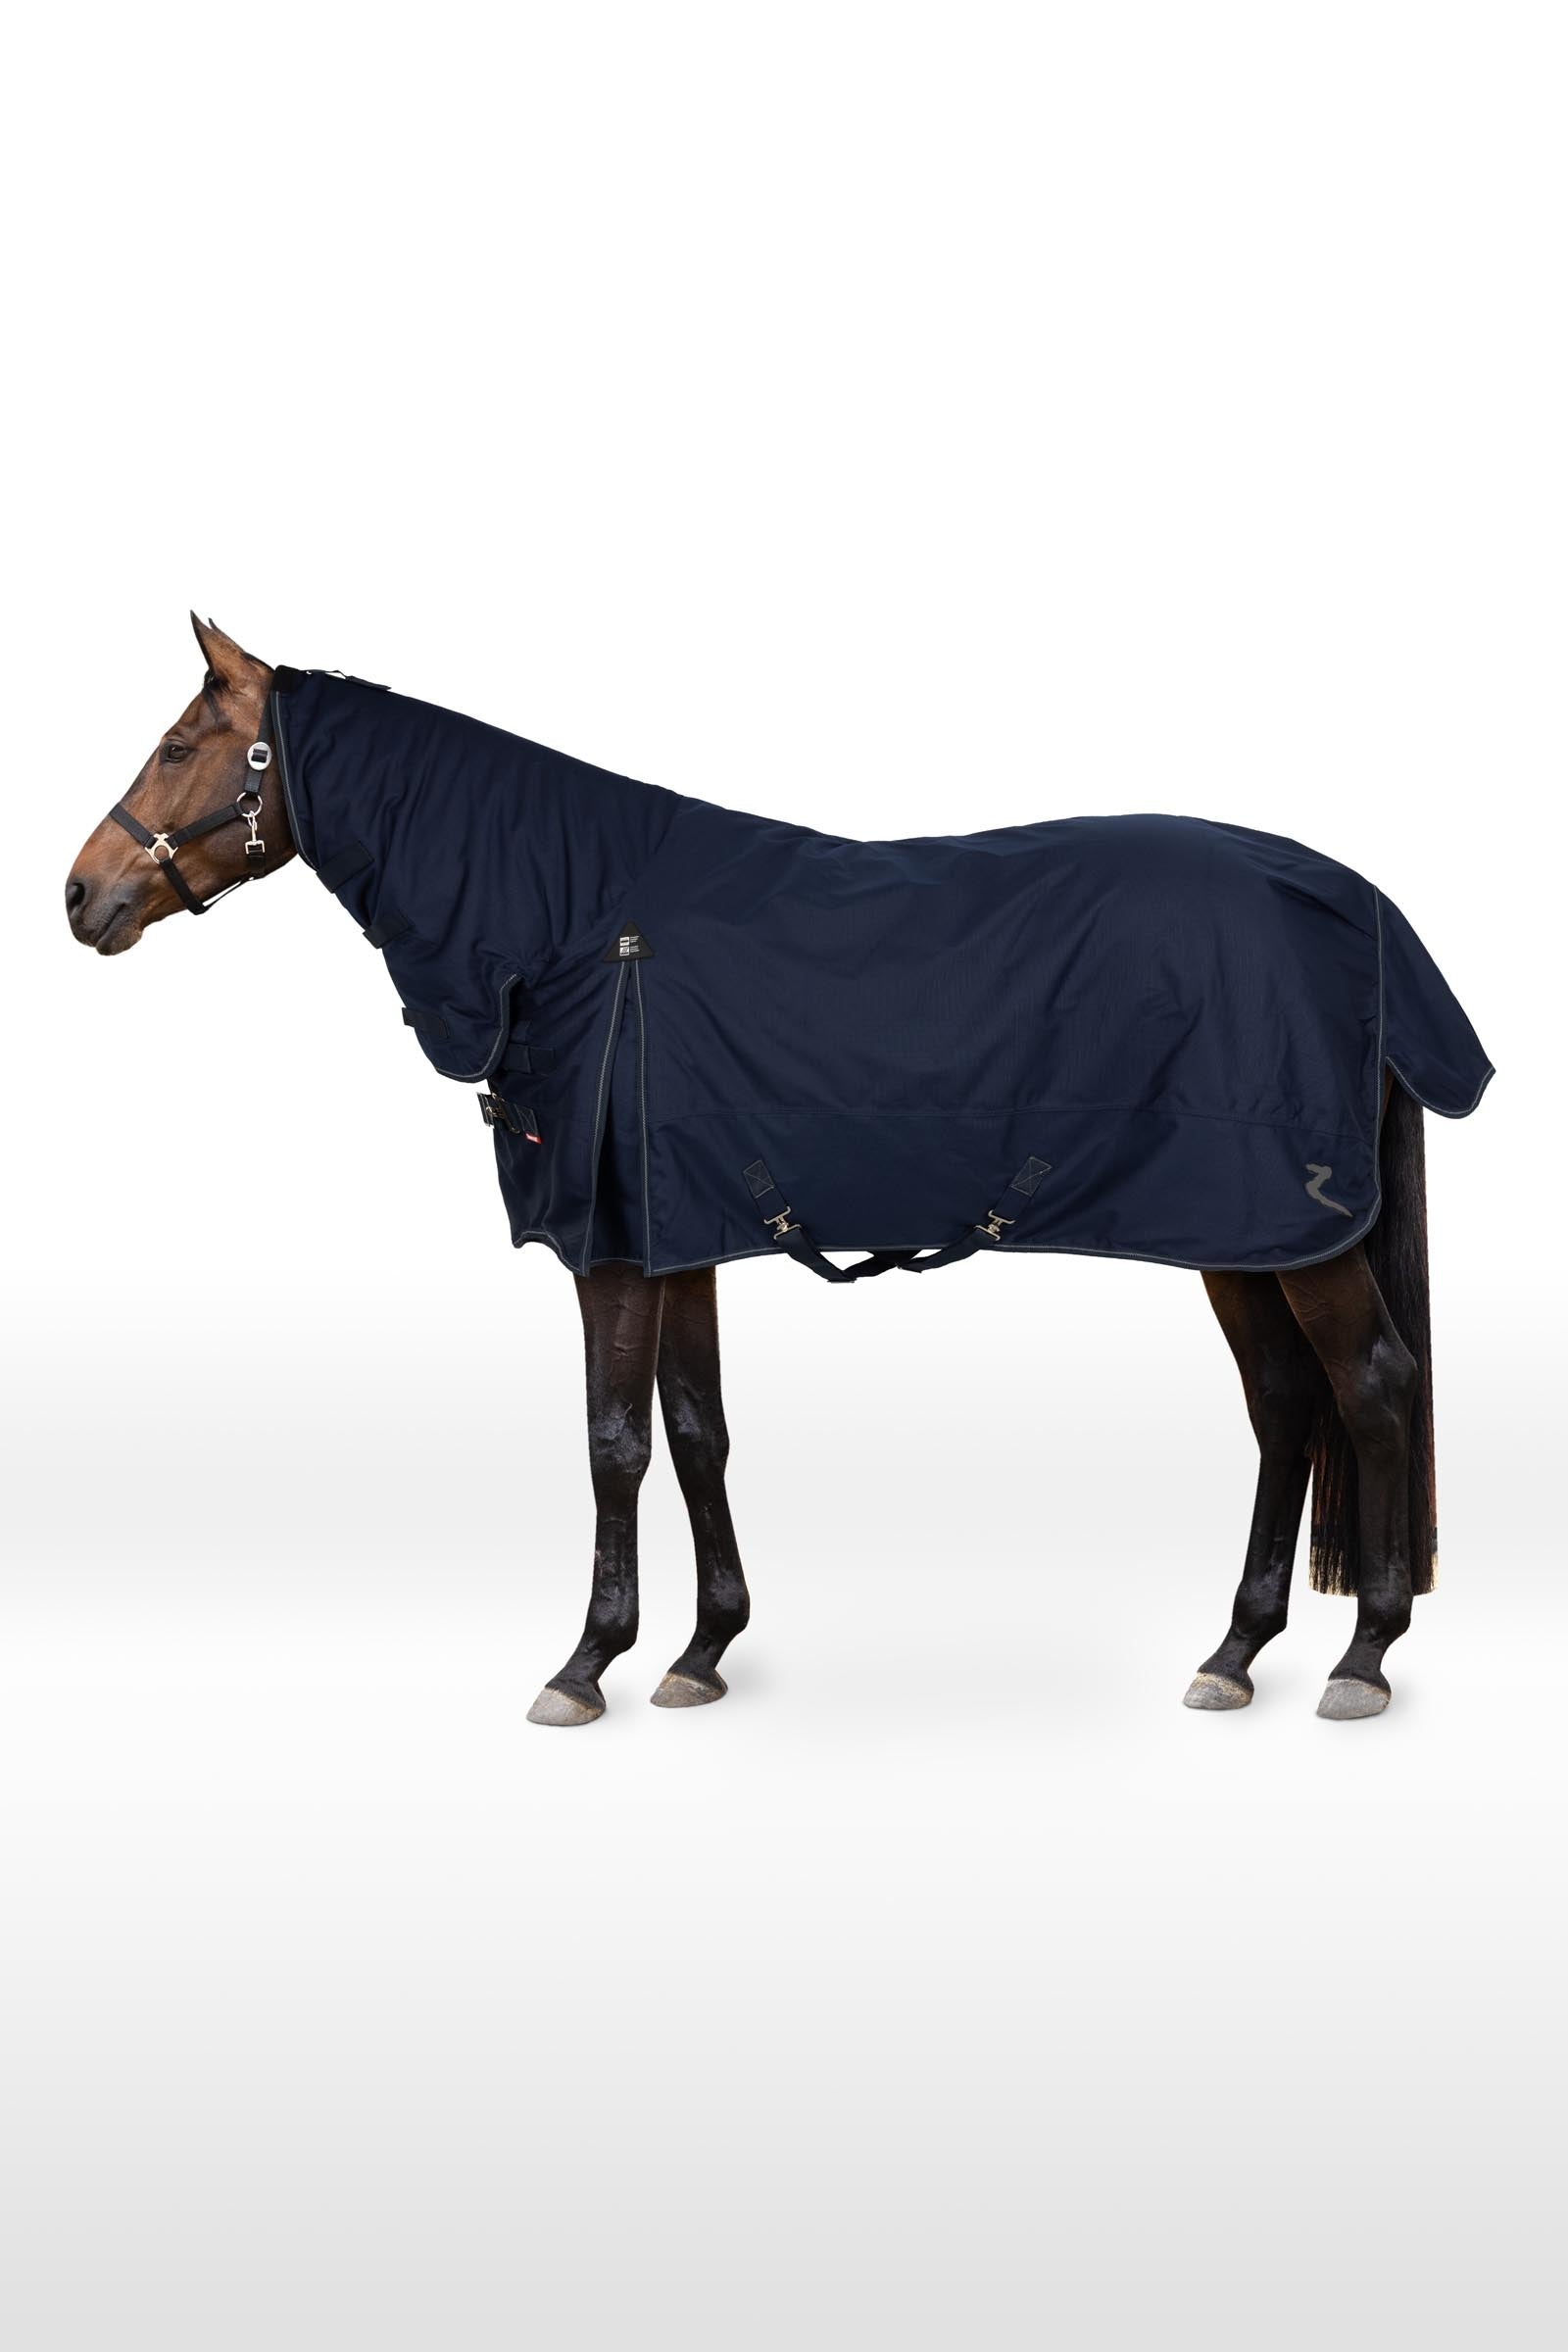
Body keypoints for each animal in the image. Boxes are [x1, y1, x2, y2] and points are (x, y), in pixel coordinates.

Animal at [65, 616, 1492, 1727]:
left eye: (182, 746)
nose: (81, 896)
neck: (583, 920)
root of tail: (1356, 902)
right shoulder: (674, 1231)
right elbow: (697, 1429)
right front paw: (702, 1652)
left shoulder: (612, 1250)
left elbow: (614, 1442)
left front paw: (586, 1664)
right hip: (1238, 1236)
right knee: (1285, 1405)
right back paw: (1236, 1651)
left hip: (1295, 1236)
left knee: (1370, 1388)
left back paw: (1362, 1657)